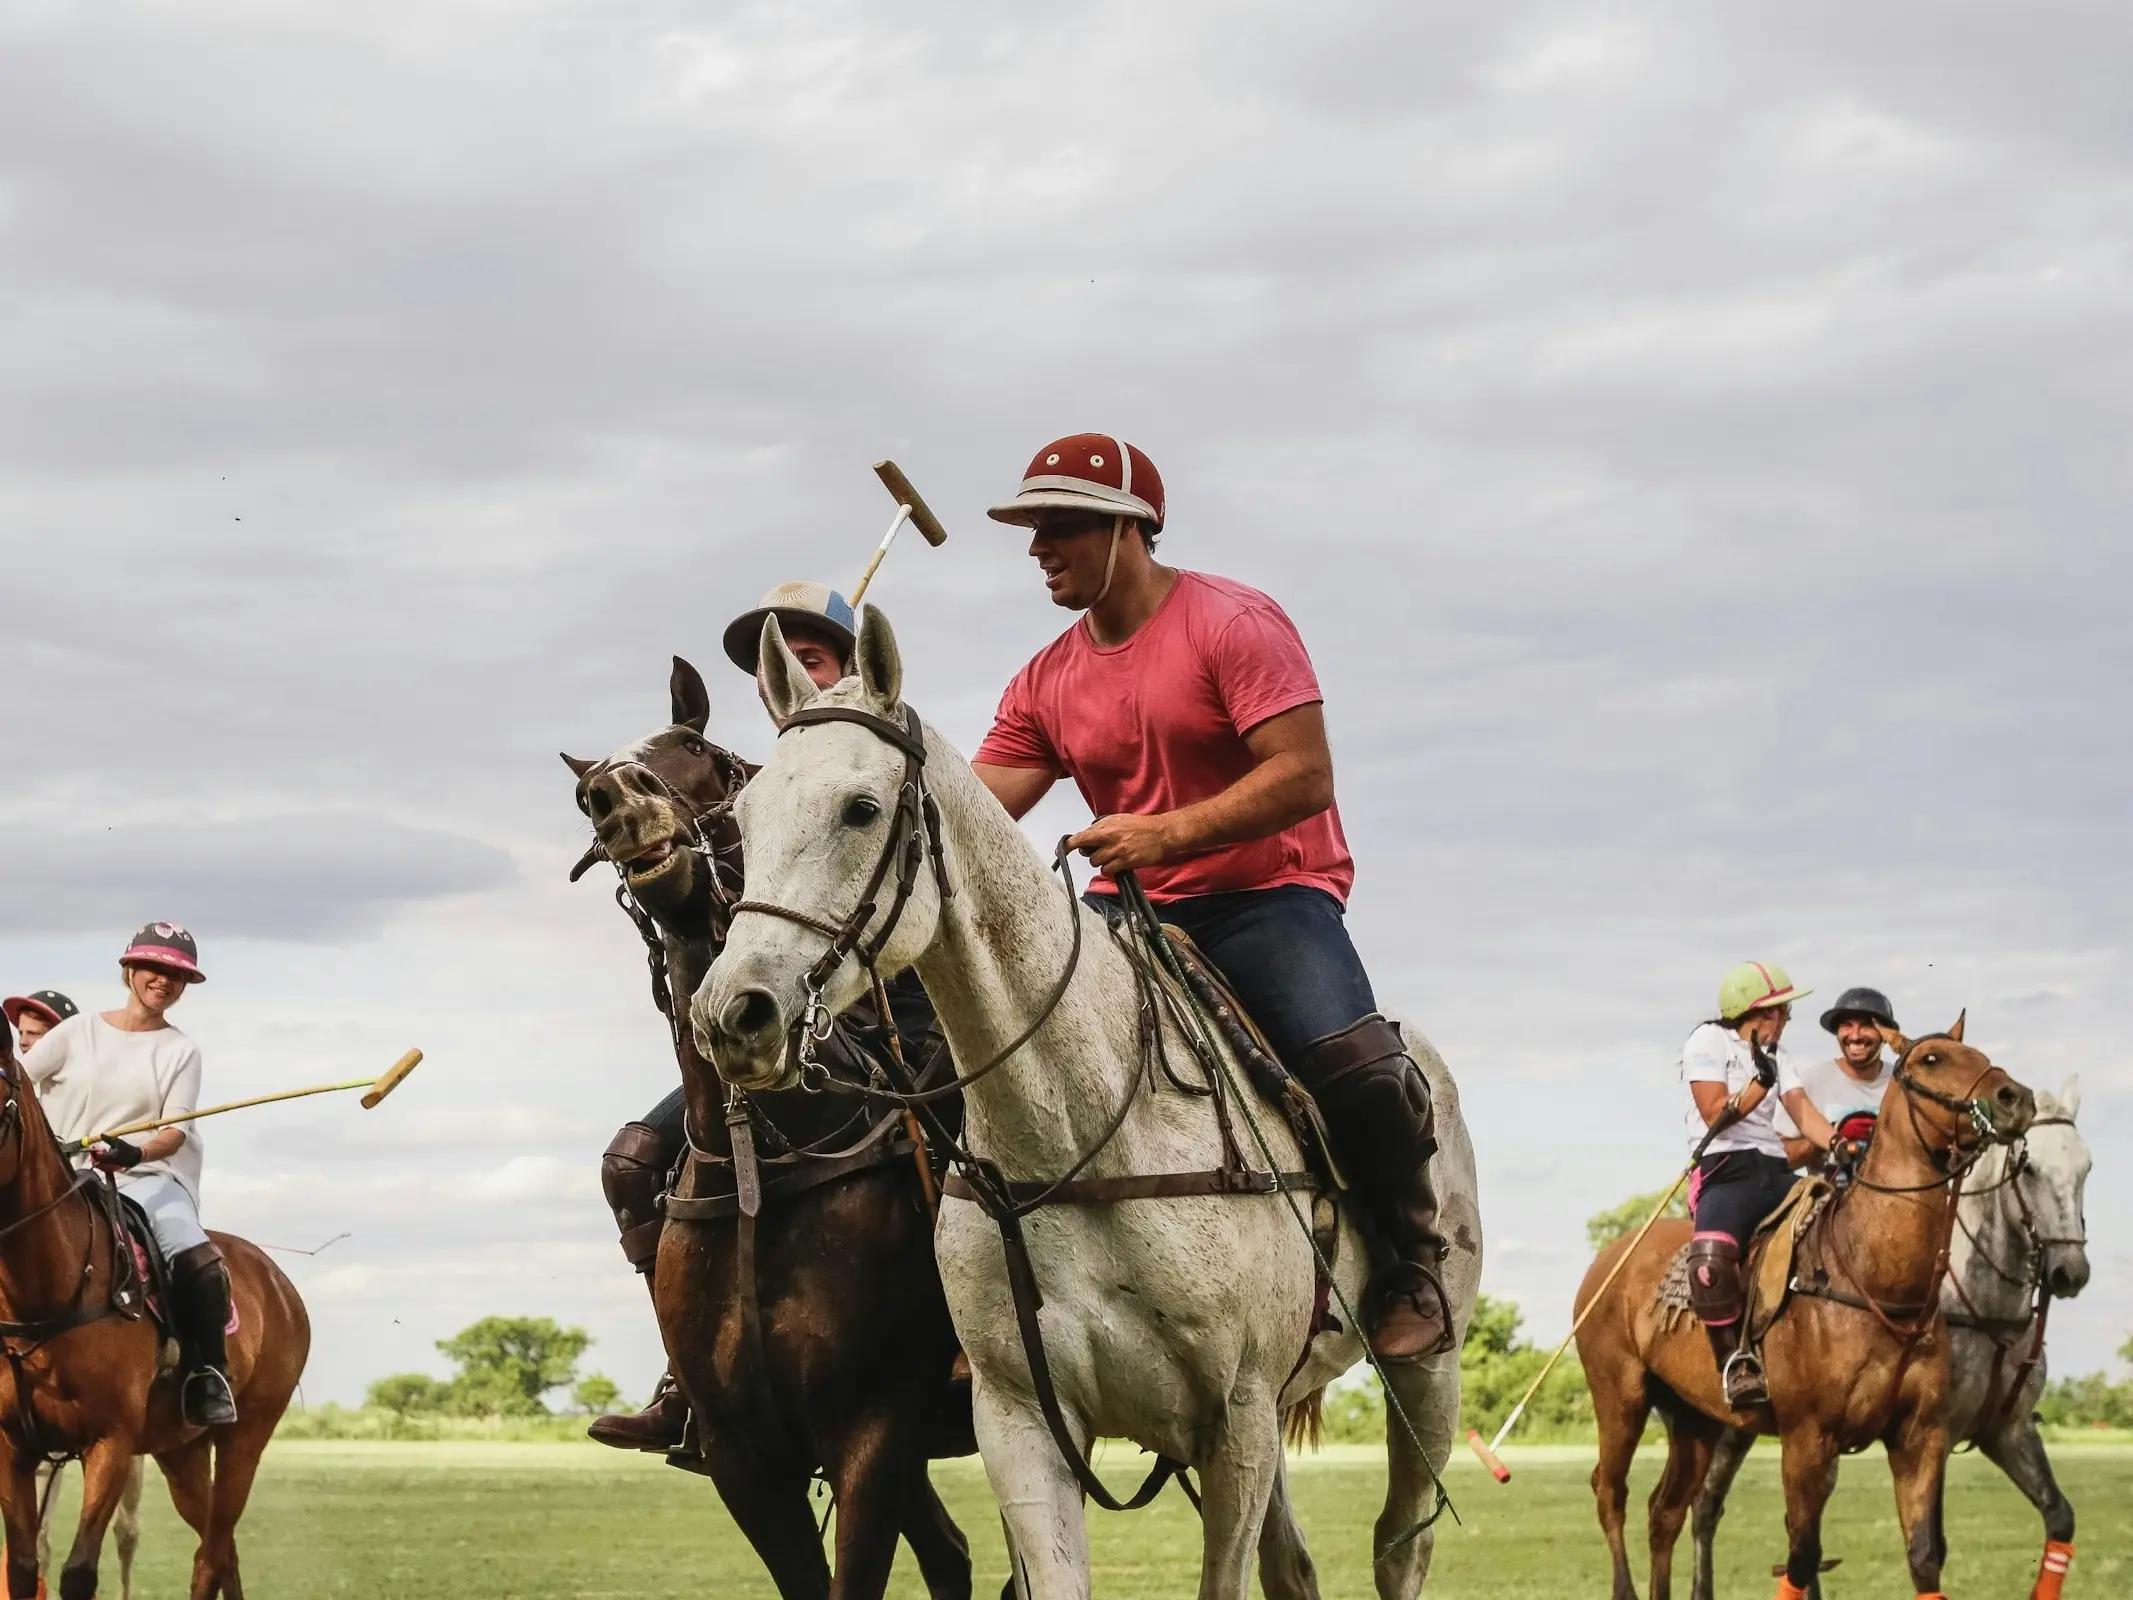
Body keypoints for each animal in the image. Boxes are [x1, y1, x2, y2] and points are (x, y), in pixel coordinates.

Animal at [0, 1019, 309, 1595]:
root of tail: (278, 1280)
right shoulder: (14, 1446)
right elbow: (24, 1569)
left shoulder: (111, 1443)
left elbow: (79, 1573)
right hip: (180, 1448)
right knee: (220, 1547)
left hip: (246, 1436)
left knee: (213, 1550)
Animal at [558, 652, 976, 1600]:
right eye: (582, 795)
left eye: (696, 749)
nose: (612, 794)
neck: (771, 1151)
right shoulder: (744, 1457)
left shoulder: (872, 1432)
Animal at [1578, 1028, 2039, 1600]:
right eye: (1932, 1058)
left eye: (1981, 1055)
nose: (2016, 1098)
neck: (1877, 1278)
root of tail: (1604, 1262)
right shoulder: (1807, 1438)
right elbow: (1801, 1557)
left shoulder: (1919, 1436)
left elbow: (1924, 1558)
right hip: (1620, 1395)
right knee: (1609, 1490)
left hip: (1693, 1416)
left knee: (1665, 1510)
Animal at [1689, 1079, 2090, 1600]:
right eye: (2030, 1169)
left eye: (2086, 1168)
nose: (2070, 1272)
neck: (1985, 1308)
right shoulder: (1937, 1430)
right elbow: (1935, 1542)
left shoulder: (2008, 1428)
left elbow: (2058, 1516)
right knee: (1719, 1511)